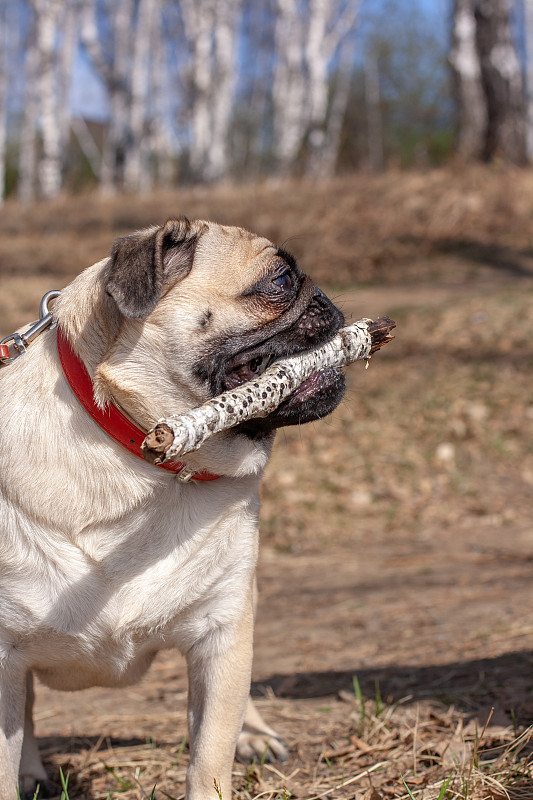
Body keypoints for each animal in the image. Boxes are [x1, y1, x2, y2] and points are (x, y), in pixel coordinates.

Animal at [0, 219, 344, 800]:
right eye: (280, 281)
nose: (328, 299)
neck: (149, 463)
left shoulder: (221, 631)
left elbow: (210, 753)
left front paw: (232, 747)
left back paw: (255, 735)